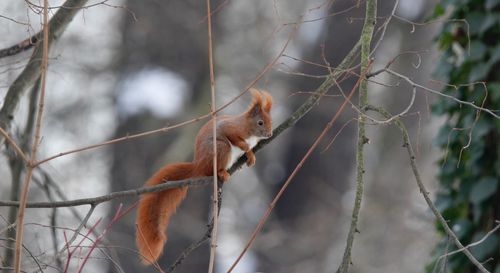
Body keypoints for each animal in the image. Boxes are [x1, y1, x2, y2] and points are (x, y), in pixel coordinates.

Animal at [135, 88, 272, 264]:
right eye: (260, 122)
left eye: (271, 120)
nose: (269, 134)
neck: (248, 129)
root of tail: (198, 166)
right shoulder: (231, 129)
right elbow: (237, 139)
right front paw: (248, 150)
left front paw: (250, 157)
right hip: (221, 148)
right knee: (216, 163)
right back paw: (222, 172)